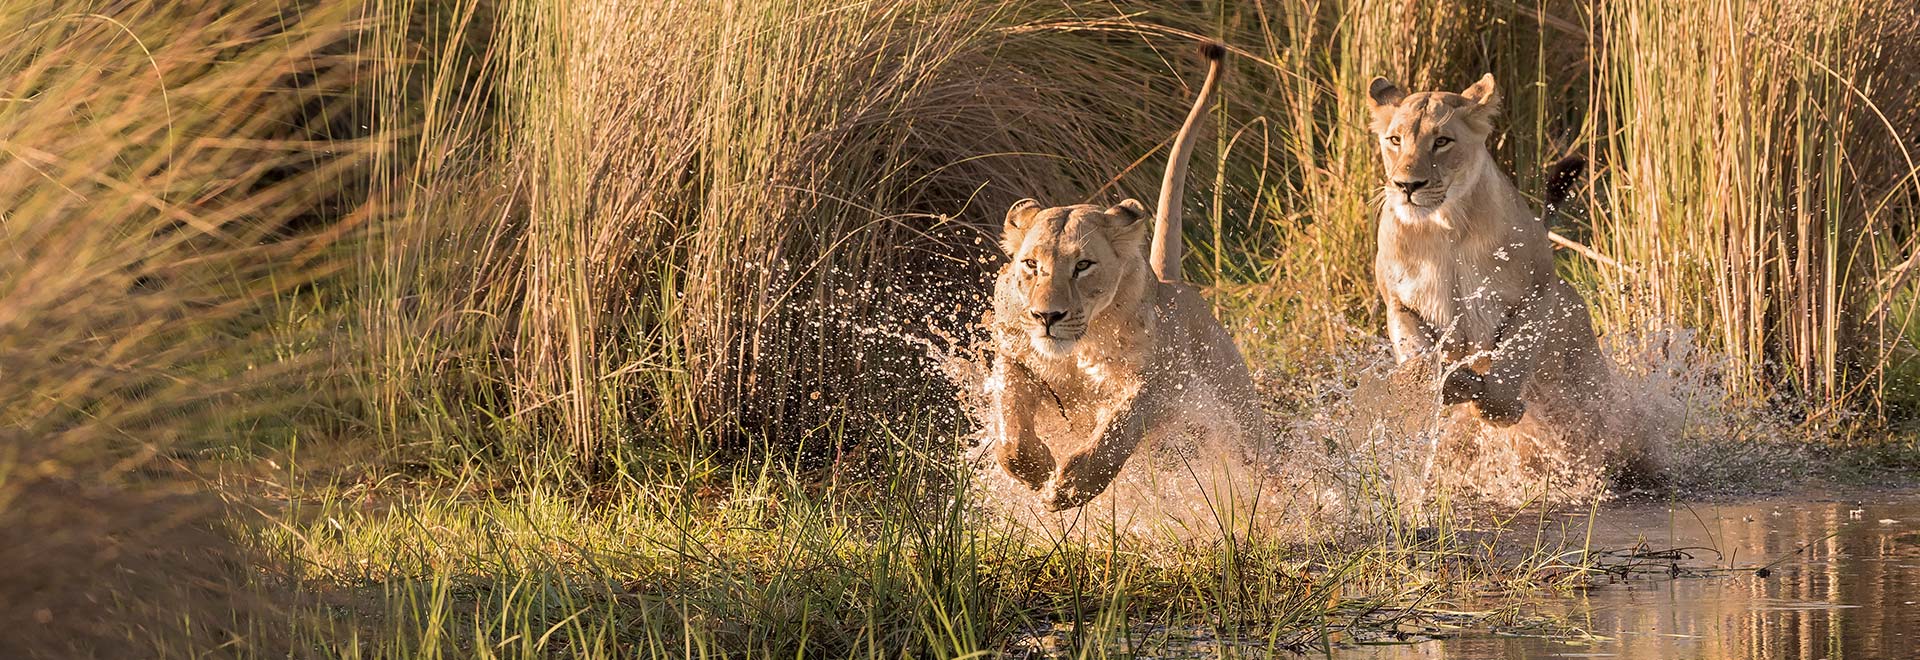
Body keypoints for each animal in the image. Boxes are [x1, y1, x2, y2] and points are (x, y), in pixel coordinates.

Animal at [983, 45, 1267, 510]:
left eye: (1083, 265)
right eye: (1031, 265)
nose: (1047, 317)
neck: (1078, 348)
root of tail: (1174, 285)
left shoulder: (1155, 381)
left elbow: (1120, 426)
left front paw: (1073, 484)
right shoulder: (1016, 357)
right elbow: (1009, 425)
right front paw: (1037, 471)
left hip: (1237, 411)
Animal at [1367, 73, 1620, 433]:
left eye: (1442, 141)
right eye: (1395, 140)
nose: (1407, 185)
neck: (1444, 230)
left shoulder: (1537, 293)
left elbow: (1514, 355)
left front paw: (1498, 408)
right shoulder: (1399, 302)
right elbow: (1418, 351)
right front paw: (1446, 383)